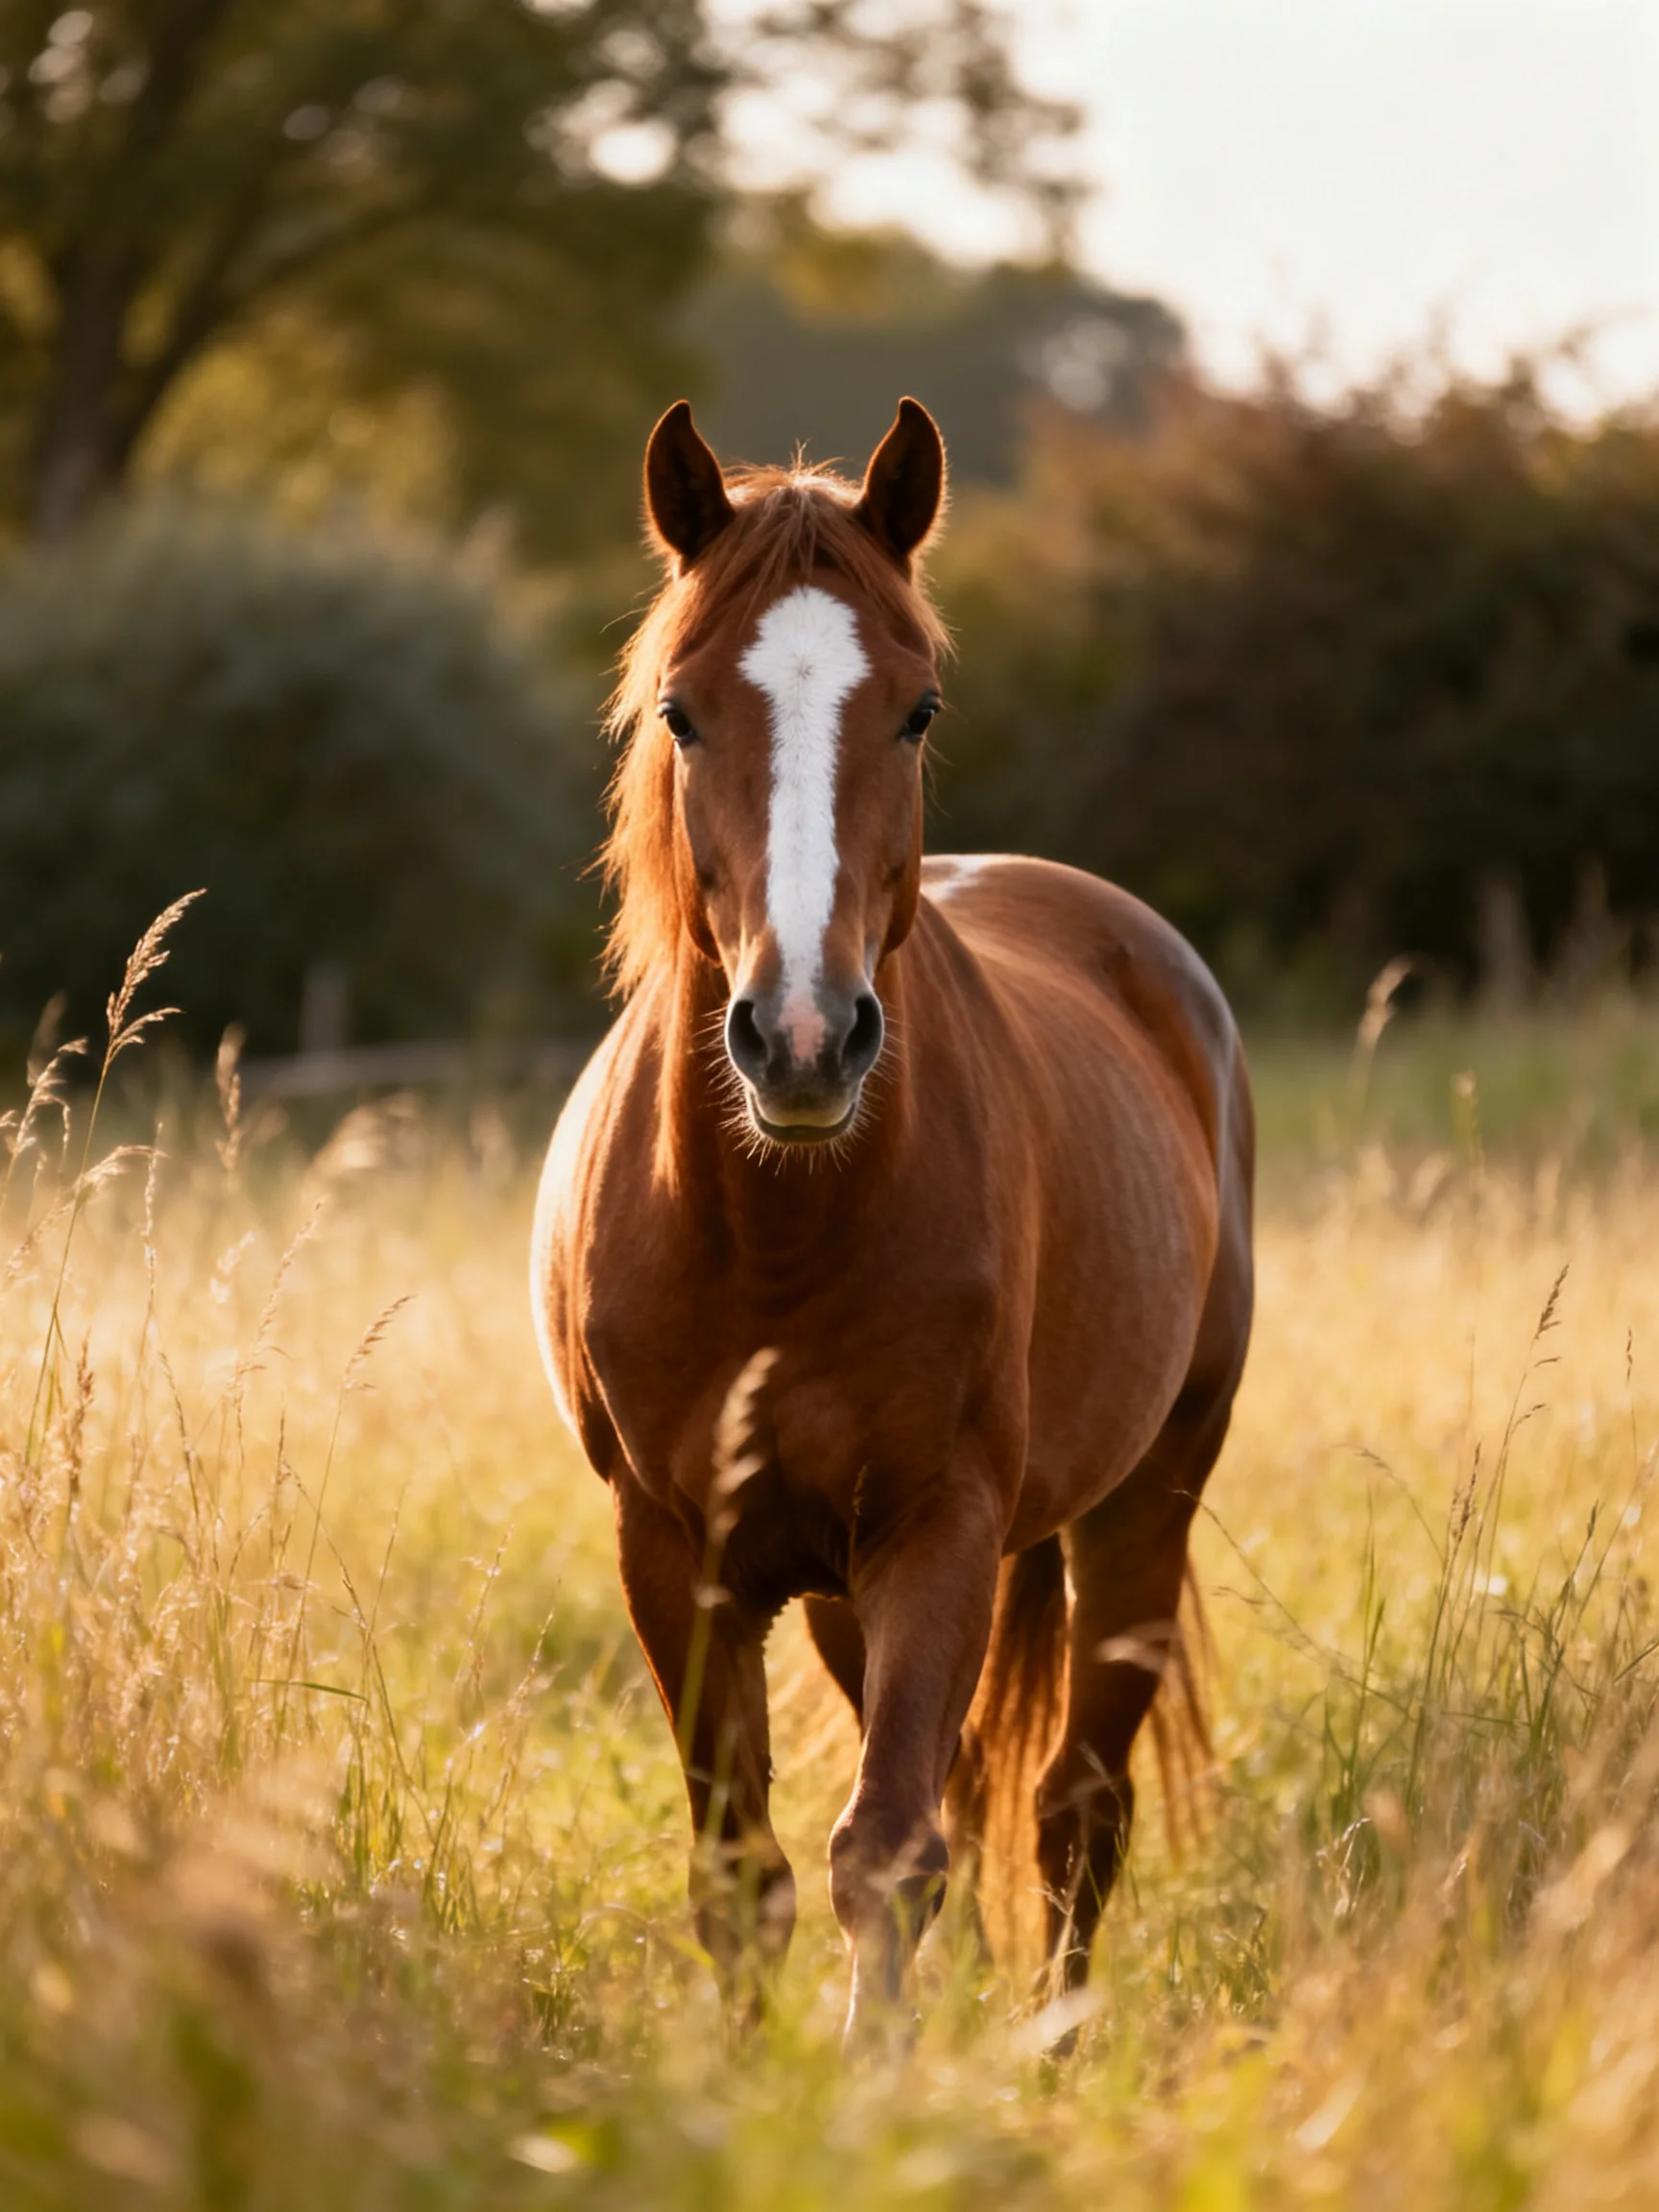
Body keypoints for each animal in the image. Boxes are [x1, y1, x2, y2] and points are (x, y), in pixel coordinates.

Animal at [531, 396, 1255, 2045]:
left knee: (1073, 1805)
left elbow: (888, 1855)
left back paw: (1051, 2043)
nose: (803, 1040)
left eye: (916, 710)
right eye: (680, 711)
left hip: (1144, 1504)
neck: (773, 1234)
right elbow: (747, 1864)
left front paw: (883, 2077)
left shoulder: (942, 1529)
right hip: (840, 1591)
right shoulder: (676, 1552)